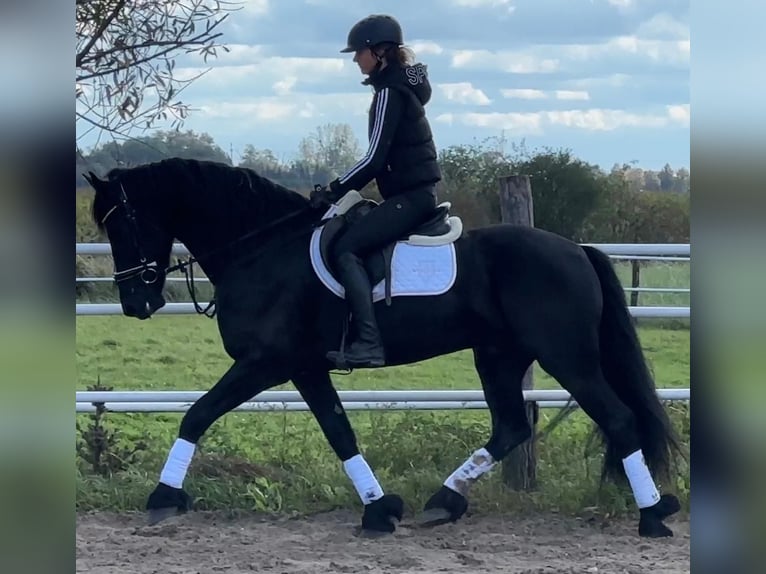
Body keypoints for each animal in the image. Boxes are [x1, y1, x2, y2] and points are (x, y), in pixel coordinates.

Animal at [85, 156, 684, 540]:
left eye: (123, 223)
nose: (136, 302)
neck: (260, 248)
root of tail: (577, 250)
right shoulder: (304, 368)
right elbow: (339, 432)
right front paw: (380, 510)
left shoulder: (264, 363)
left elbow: (197, 414)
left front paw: (162, 500)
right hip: (498, 355)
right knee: (513, 427)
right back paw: (443, 503)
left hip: (566, 357)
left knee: (618, 419)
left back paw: (653, 518)